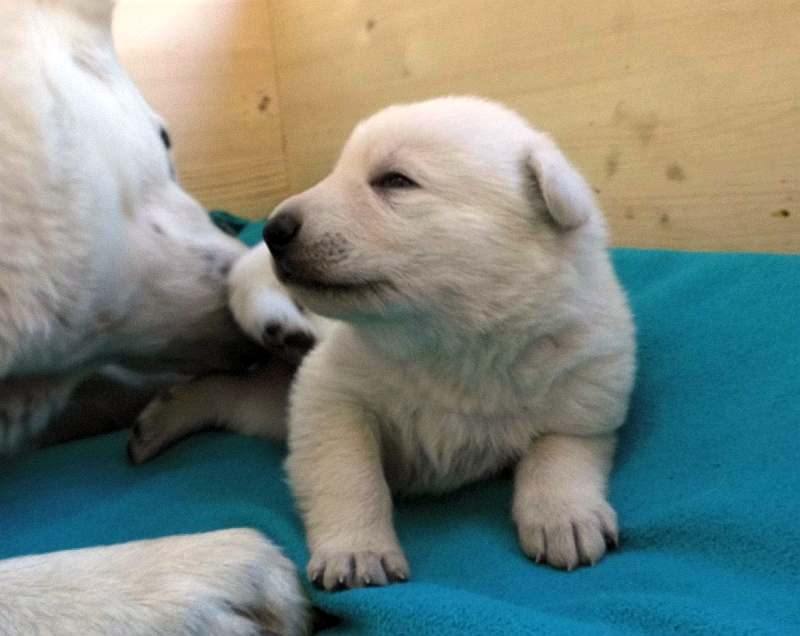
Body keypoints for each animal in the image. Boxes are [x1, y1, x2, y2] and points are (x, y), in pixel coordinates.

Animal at [131, 98, 636, 592]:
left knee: (236, 398)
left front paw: (566, 521)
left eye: (395, 180)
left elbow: (562, 447)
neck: (456, 341)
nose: (275, 228)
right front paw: (358, 553)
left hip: (272, 404)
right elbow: (347, 467)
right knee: (247, 296)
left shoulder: (587, 379)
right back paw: (278, 325)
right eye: (337, 171)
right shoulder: (332, 388)